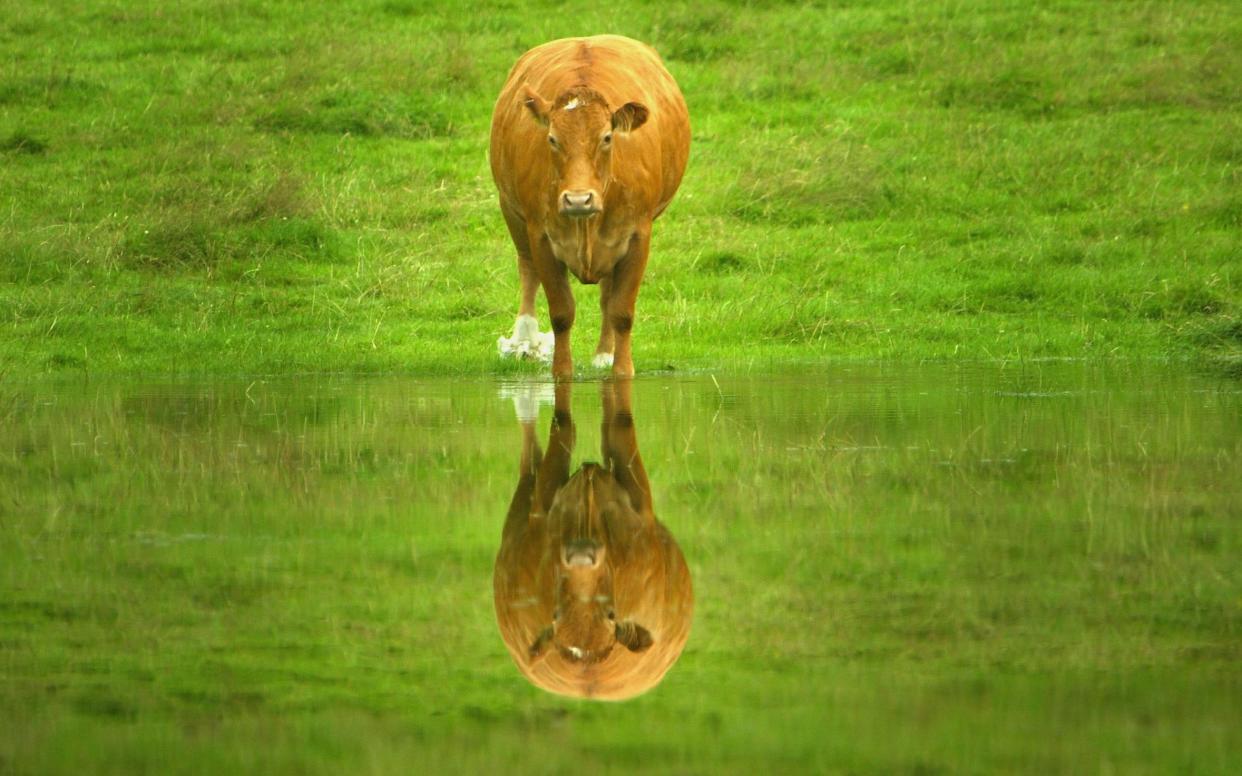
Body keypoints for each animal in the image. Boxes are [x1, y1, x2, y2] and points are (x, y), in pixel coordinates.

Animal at [491, 35, 690, 374]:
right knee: (527, 271)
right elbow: (561, 313)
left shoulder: (638, 236)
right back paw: (525, 341)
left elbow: (621, 310)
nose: (578, 199)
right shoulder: (541, 236)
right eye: (552, 139)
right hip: (512, 211)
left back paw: (604, 353)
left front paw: (622, 370)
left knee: (607, 294)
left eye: (607, 137)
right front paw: (561, 371)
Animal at [491, 377, 690, 700]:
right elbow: (565, 427)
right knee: (529, 458)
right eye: (555, 615)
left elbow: (616, 423)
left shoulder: (640, 503)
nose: (581, 556)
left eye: (611, 615)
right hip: (519, 506)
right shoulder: (541, 505)